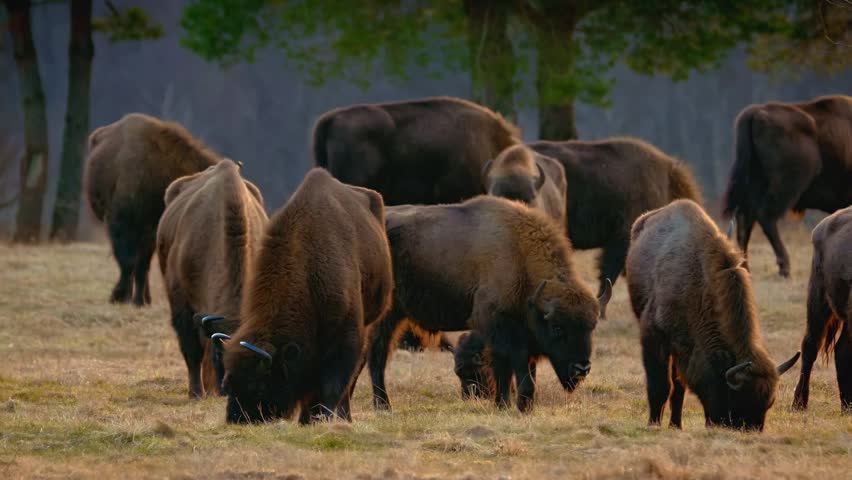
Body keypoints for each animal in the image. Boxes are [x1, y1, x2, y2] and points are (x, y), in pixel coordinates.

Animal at [84, 113, 220, 306]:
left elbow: (142, 265)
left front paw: (138, 300)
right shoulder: (120, 224)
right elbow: (127, 262)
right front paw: (119, 296)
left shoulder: (151, 231)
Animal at [220, 168, 393, 424]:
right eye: (228, 381)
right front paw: (306, 419)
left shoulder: (345, 339)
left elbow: (334, 385)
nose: (236, 418)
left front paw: (325, 417)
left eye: (260, 384)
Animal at [626, 199, 800, 431]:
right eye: (737, 400)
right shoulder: (654, 338)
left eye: (768, 403)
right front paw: (653, 424)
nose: (751, 429)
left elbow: (679, 387)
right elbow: (660, 386)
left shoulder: (684, 348)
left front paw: (676, 425)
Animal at [722, 95, 852, 278]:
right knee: (766, 216)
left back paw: (745, 267)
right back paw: (784, 268)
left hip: (754, 183)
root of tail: (756, 112)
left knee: (744, 220)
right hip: (789, 186)